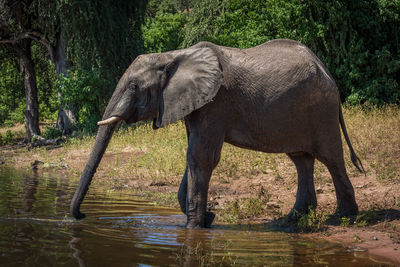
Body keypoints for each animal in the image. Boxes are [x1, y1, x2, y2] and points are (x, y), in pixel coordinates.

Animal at [70, 39, 364, 230]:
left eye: (133, 86)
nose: (81, 216)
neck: (172, 56)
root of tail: (325, 68)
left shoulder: (215, 102)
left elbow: (201, 156)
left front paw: (194, 227)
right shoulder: (193, 103)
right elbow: (193, 155)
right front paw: (207, 219)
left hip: (321, 109)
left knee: (331, 158)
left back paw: (343, 218)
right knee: (301, 159)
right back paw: (293, 219)